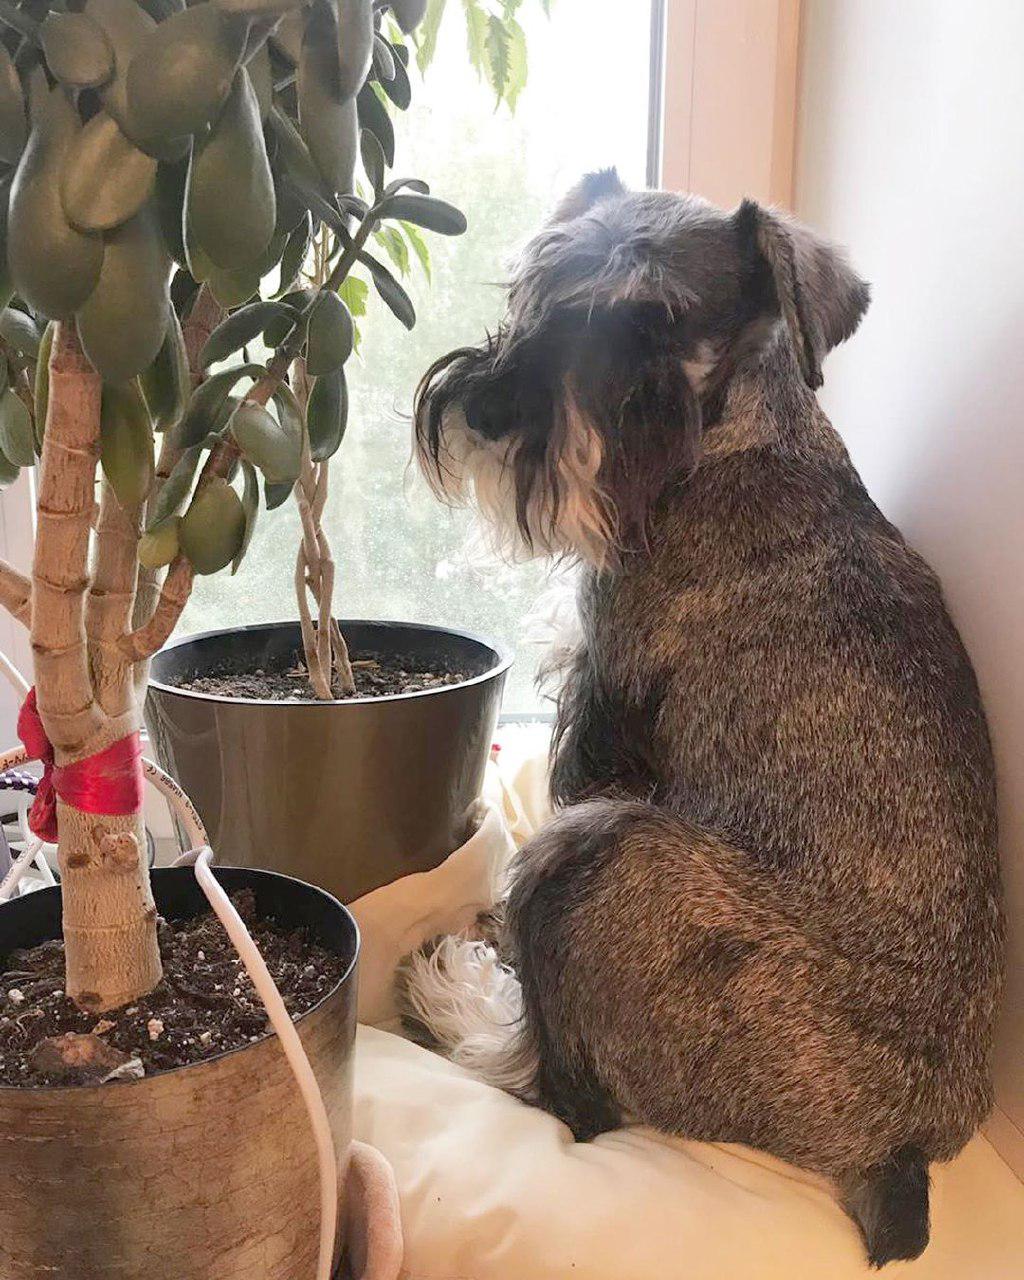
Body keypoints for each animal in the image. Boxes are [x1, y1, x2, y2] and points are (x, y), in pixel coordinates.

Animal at [399, 172, 998, 1269]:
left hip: (604, 854)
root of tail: (896, 1150)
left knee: (567, 1094)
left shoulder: (597, 723)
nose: (494, 408)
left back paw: (454, 1001)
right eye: (535, 278)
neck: (735, 438)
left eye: (652, 325)